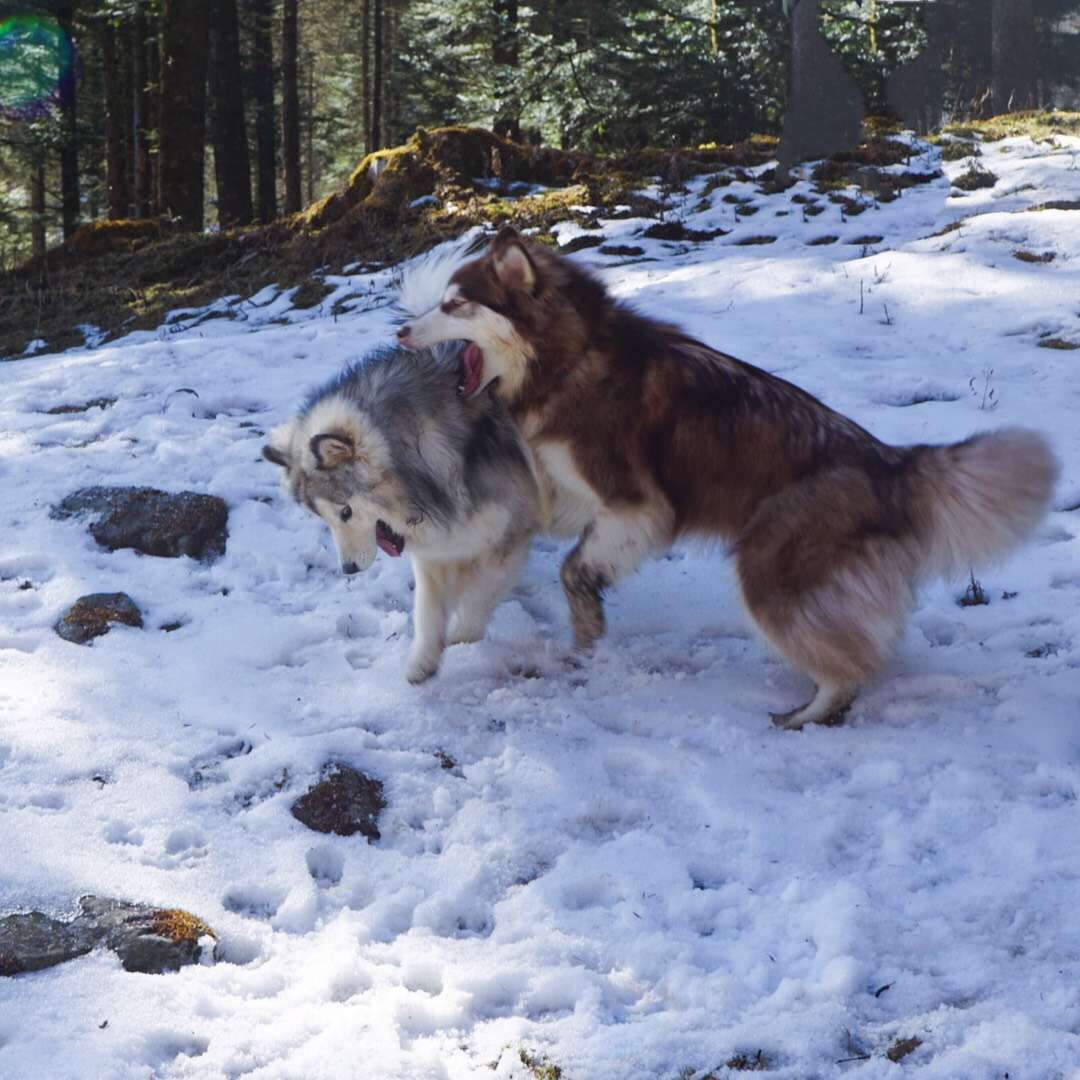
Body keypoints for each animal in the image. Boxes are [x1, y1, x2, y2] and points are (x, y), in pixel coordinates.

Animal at [263, 340, 540, 684]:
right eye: (322, 518)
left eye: (345, 512)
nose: (348, 569)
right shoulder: (439, 549)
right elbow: (427, 611)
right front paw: (423, 662)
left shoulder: (510, 536)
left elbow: (479, 596)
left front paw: (462, 639)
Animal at [396, 225, 1059, 728]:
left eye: (455, 305)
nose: (399, 331)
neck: (570, 357)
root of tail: (887, 462)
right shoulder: (568, 492)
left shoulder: (638, 505)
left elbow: (574, 570)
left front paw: (585, 626)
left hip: (768, 572)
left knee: (851, 668)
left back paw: (806, 716)